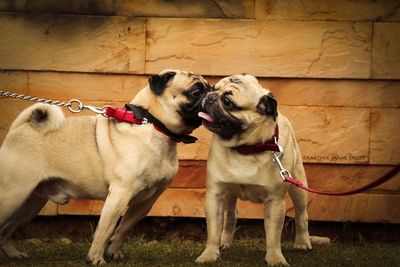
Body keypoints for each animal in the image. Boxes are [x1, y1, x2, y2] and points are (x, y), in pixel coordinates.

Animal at [0, 69, 211, 266]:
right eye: (196, 91)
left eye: (209, 87)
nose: (211, 93)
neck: (152, 124)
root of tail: (18, 129)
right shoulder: (119, 194)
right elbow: (105, 230)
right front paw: (95, 258)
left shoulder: (146, 200)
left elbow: (123, 227)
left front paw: (114, 252)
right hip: (14, 194)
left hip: (30, 203)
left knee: (5, 231)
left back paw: (13, 254)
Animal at [195, 74, 330, 266]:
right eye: (213, 87)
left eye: (227, 102)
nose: (210, 96)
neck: (246, 148)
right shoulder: (216, 195)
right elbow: (213, 230)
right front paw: (209, 254)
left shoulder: (275, 201)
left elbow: (273, 235)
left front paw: (275, 258)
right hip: (229, 194)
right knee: (231, 216)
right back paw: (225, 242)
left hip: (299, 185)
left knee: (301, 215)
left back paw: (303, 243)